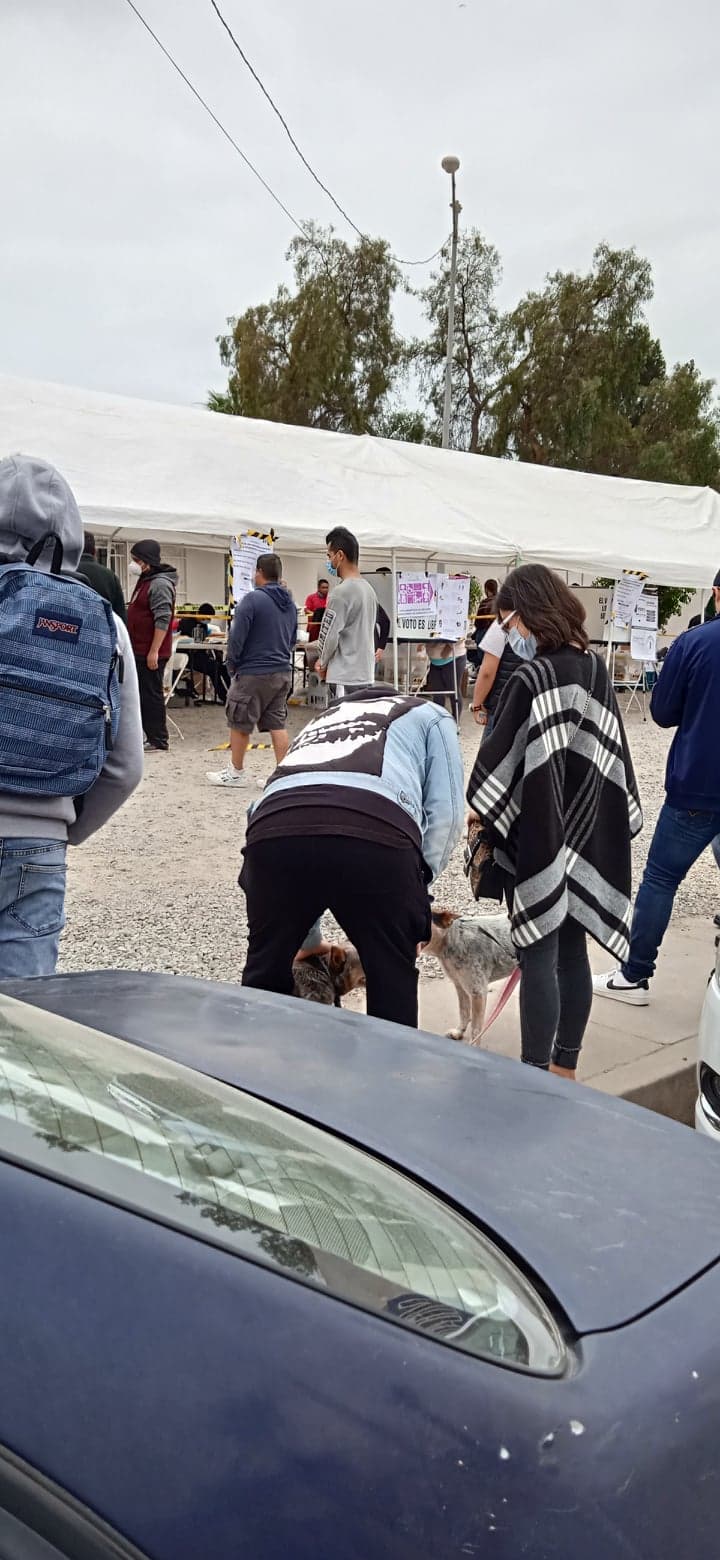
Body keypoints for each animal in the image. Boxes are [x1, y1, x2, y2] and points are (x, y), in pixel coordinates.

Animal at [426, 909, 518, 1046]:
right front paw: (459, 1032)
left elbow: (476, 1028)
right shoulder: (460, 985)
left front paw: (473, 1045)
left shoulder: (478, 992)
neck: (453, 939)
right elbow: (463, 1011)